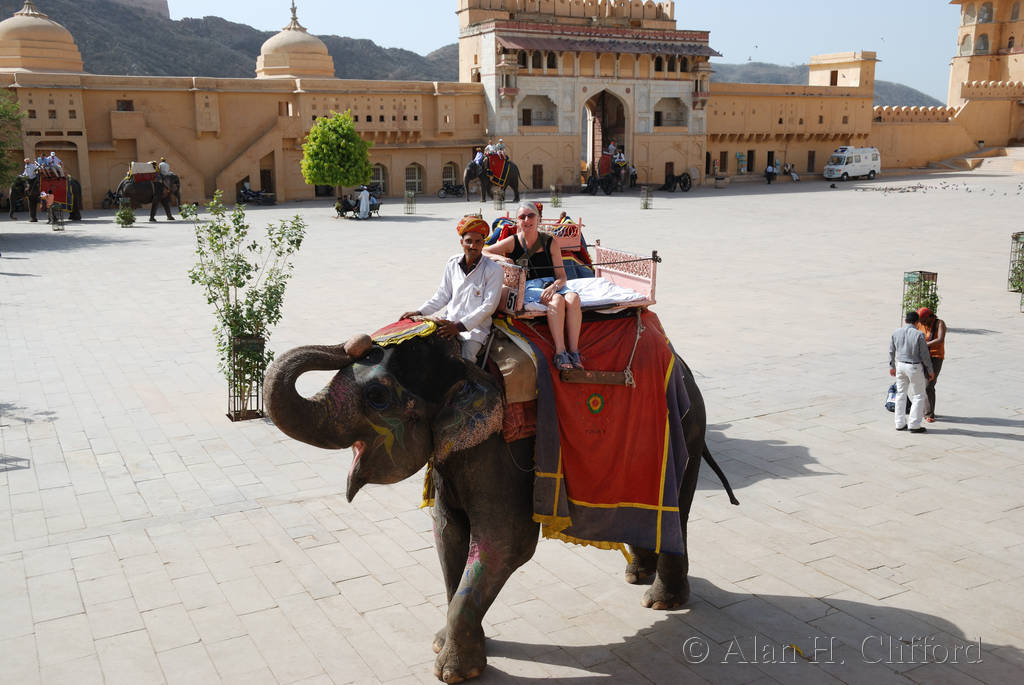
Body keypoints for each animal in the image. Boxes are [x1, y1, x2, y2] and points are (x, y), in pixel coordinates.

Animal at [264, 328, 736, 682]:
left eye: (377, 397)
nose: (358, 341)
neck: (464, 365)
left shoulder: (499, 449)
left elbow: (505, 543)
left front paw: (452, 672)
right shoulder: (452, 455)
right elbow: (448, 534)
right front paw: (447, 643)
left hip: (687, 432)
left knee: (678, 506)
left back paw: (660, 602)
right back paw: (637, 577)